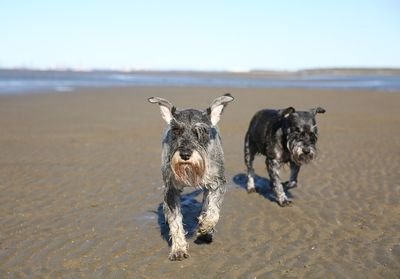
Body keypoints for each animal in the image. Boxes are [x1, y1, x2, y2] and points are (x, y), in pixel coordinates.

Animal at [148, 94, 233, 262]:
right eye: (176, 130)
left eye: (202, 131)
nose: (185, 154)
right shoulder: (171, 189)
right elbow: (175, 221)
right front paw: (178, 249)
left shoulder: (218, 183)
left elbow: (213, 209)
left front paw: (206, 225)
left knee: (206, 202)